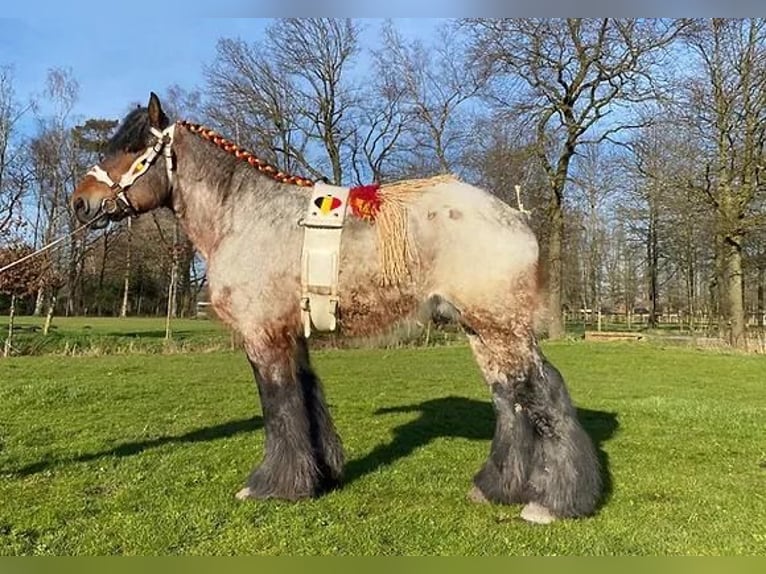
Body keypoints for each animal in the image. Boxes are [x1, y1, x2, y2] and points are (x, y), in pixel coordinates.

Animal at [69, 91, 604, 528]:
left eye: (132, 149)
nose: (79, 202)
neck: (243, 215)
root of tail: (516, 217)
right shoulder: (293, 334)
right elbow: (307, 398)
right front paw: (319, 476)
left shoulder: (264, 335)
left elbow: (279, 405)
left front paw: (272, 486)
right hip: (481, 330)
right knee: (508, 398)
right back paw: (495, 488)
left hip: (501, 327)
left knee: (543, 392)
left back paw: (553, 503)